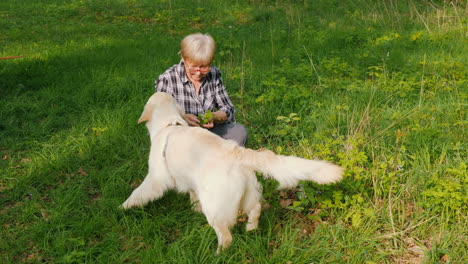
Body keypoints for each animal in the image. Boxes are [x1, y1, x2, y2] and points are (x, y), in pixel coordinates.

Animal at [121, 92, 344, 253]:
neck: (169, 124)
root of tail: (237, 152)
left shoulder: (156, 178)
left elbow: (138, 193)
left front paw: (124, 207)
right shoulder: (189, 180)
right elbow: (192, 195)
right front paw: (193, 208)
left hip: (215, 207)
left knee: (226, 236)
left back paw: (218, 254)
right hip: (247, 193)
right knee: (255, 209)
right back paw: (251, 229)